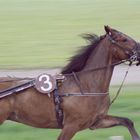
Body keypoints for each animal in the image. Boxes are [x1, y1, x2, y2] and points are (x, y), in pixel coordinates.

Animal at [0, 25, 140, 140]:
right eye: (123, 39)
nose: (139, 51)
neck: (86, 86)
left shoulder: (96, 121)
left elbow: (127, 121)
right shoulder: (71, 126)